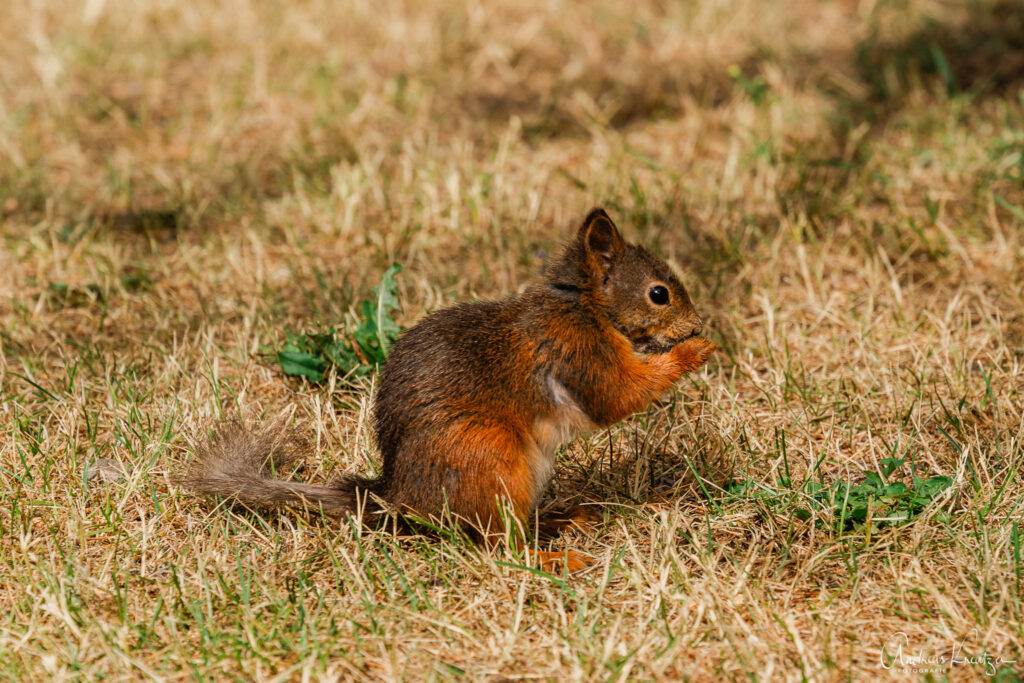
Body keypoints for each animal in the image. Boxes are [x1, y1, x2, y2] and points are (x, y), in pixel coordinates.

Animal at [185, 208, 715, 572]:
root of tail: (399, 499)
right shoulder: (577, 350)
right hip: (489, 458)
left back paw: (556, 521)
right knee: (497, 545)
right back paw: (552, 557)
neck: (584, 306)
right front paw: (694, 351)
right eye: (659, 294)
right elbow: (619, 394)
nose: (696, 324)